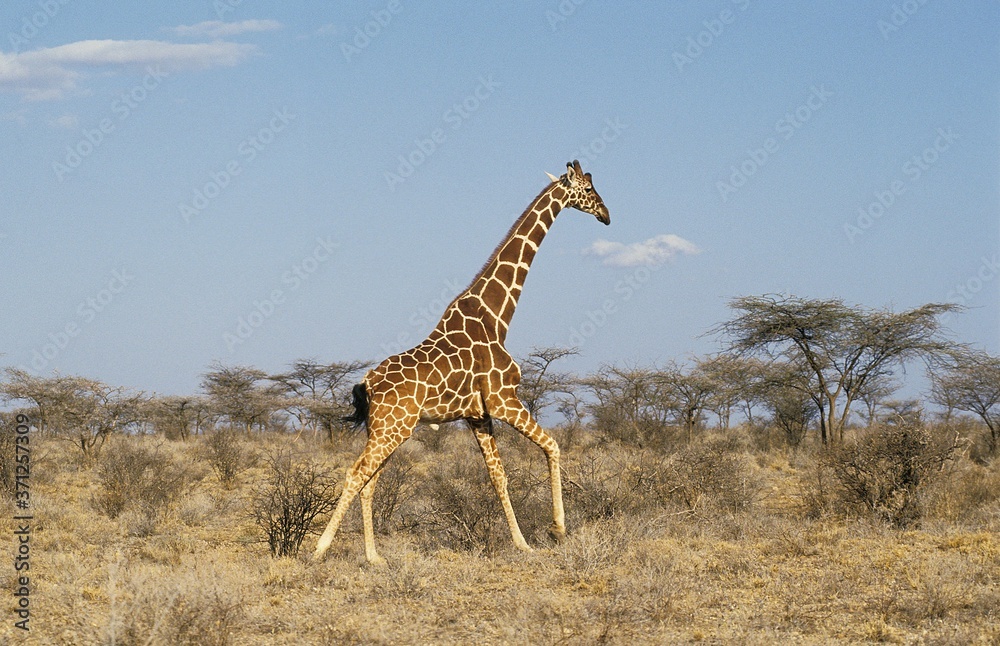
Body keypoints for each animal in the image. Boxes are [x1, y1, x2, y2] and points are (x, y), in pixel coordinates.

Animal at [314, 160, 610, 564]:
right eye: (590, 190)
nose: (607, 215)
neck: (497, 316)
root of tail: (367, 384)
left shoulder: (477, 414)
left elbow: (498, 476)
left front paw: (522, 542)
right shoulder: (503, 400)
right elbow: (552, 445)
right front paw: (557, 530)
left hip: (386, 429)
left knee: (368, 481)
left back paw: (374, 557)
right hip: (393, 428)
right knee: (354, 474)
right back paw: (319, 548)